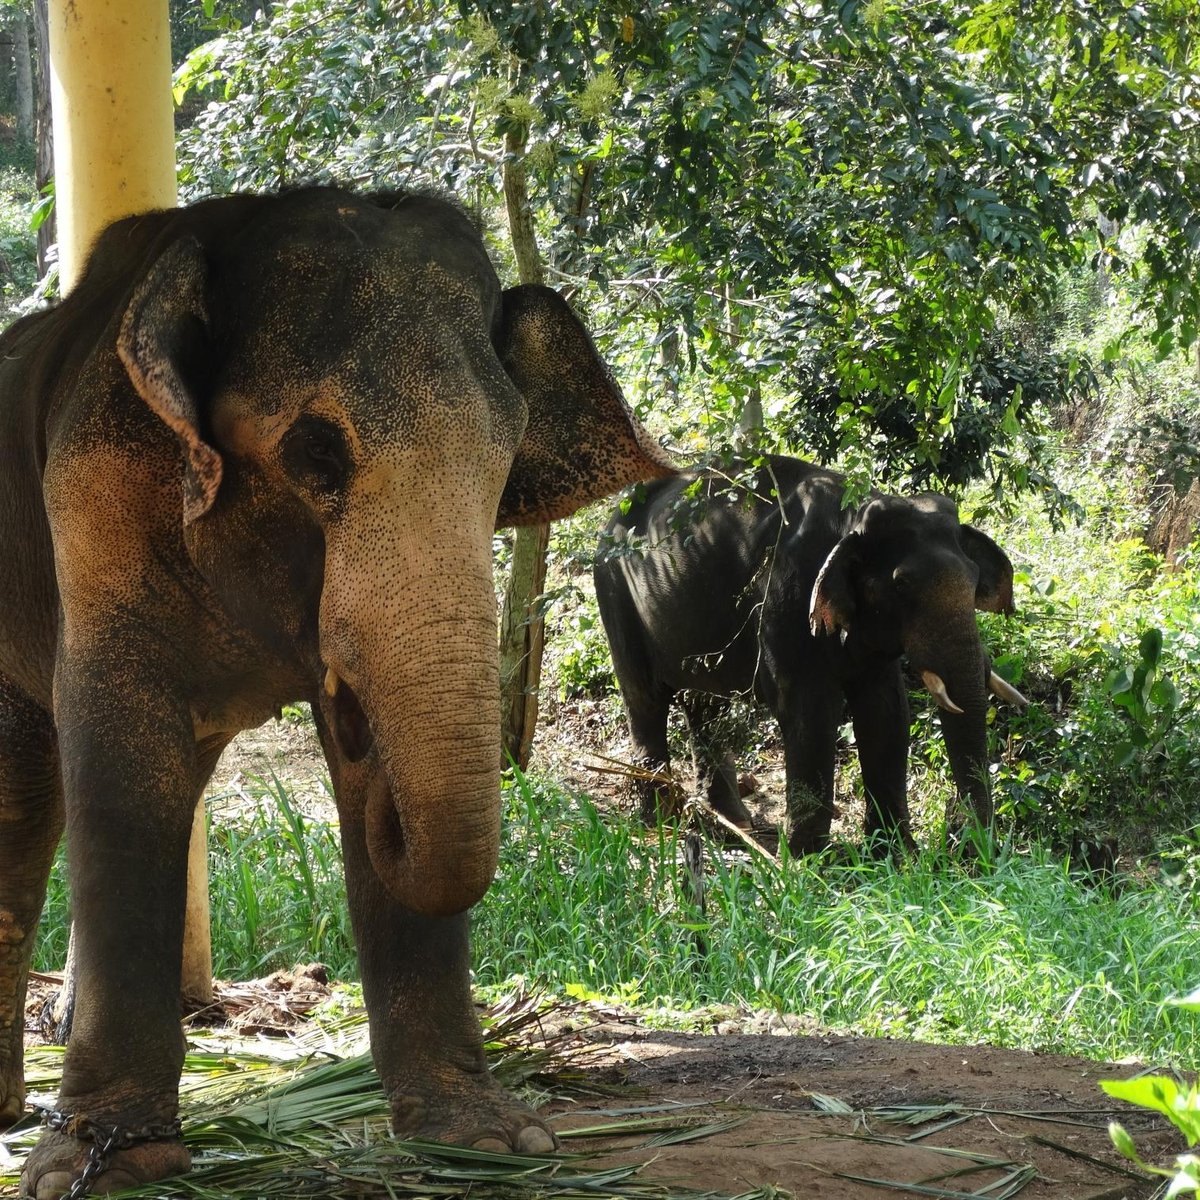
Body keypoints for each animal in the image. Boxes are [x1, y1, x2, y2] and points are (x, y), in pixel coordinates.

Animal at [0, 182, 676, 1195]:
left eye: (505, 457)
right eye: (315, 453)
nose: (360, 726)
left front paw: (486, 1141)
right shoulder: (96, 494)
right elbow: (120, 764)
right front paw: (103, 1165)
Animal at [595, 453, 1027, 859]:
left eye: (974, 579)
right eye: (902, 585)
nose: (963, 841)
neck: (856, 512)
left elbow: (886, 712)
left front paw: (894, 855)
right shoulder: (787, 597)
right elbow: (811, 711)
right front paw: (810, 861)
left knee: (706, 705)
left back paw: (732, 825)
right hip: (614, 591)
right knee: (645, 698)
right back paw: (657, 822)